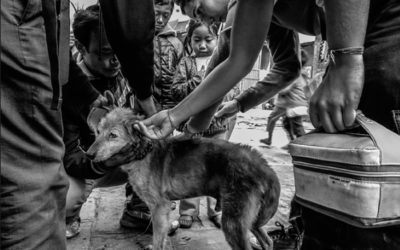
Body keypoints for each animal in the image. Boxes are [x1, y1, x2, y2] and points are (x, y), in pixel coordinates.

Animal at [86, 107, 282, 250]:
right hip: (251, 218)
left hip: (234, 221)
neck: (144, 153)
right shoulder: (159, 209)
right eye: (98, 132)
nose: (88, 155)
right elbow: (161, 237)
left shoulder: (160, 206)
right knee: (268, 241)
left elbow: (158, 240)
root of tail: (262, 164)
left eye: (113, 135)